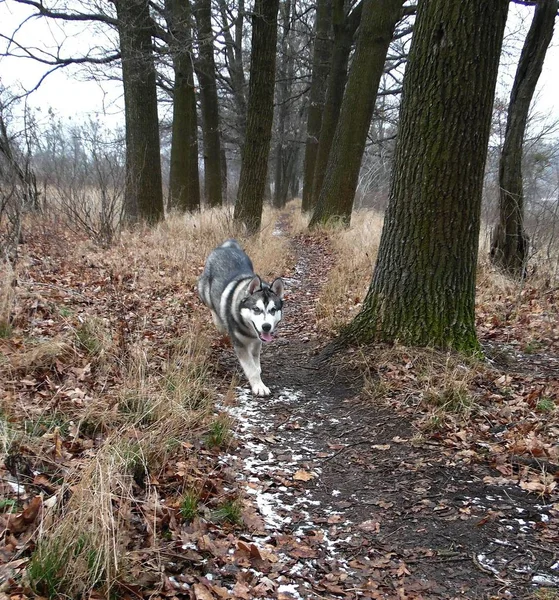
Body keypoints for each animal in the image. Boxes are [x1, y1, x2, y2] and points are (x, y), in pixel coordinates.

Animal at [198, 241, 284, 396]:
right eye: (256, 309)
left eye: (273, 310)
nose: (266, 326)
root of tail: (228, 246)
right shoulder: (240, 344)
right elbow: (251, 368)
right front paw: (259, 386)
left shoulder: (257, 341)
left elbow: (256, 361)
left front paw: (258, 370)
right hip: (204, 292)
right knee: (212, 307)